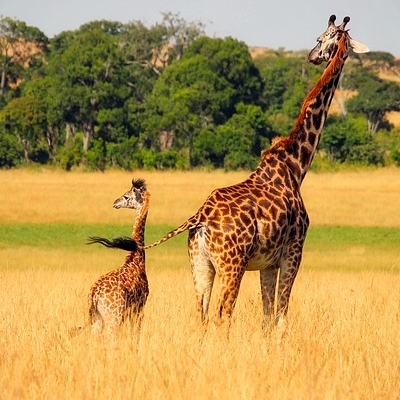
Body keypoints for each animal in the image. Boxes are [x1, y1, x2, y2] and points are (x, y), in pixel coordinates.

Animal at [86, 178, 150, 338]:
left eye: (126, 196)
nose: (115, 202)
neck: (136, 258)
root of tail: (94, 295)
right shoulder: (139, 307)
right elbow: (135, 334)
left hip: (97, 319)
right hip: (113, 318)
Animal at [139, 15, 368, 330]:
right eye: (322, 37)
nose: (312, 56)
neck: (296, 165)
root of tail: (199, 218)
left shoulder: (267, 263)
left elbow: (267, 316)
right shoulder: (294, 251)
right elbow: (281, 316)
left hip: (200, 264)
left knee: (202, 315)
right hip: (232, 264)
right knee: (223, 314)